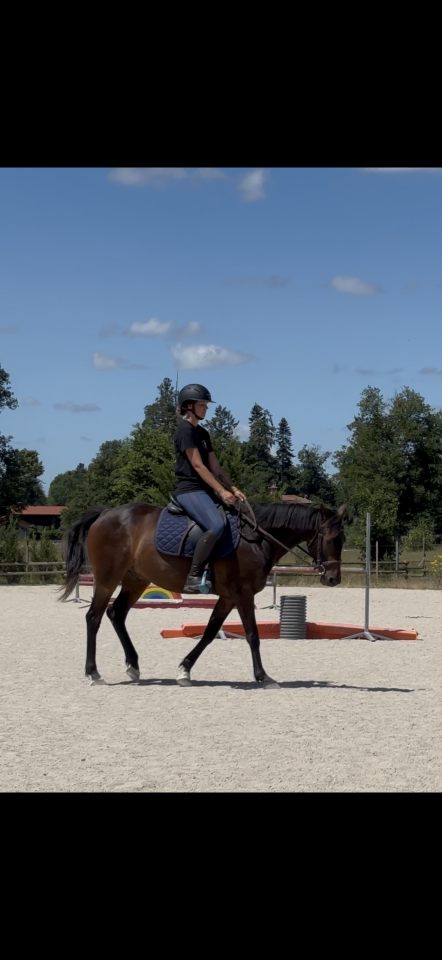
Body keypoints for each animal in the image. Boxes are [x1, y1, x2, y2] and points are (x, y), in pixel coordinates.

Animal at [60, 499, 347, 688]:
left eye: (342, 540)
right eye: (330, 539)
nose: (334, 579)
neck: (256, 539)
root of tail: (105, 513)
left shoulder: (229, 597)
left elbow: (209, 632)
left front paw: (184, 670)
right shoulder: (243, 594)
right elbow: (252, 635)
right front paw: (263, 677)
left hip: (136, 580)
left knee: (116, 614)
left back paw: (133, 666)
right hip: (107, 579)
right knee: (94, 617)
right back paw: (94, 673)